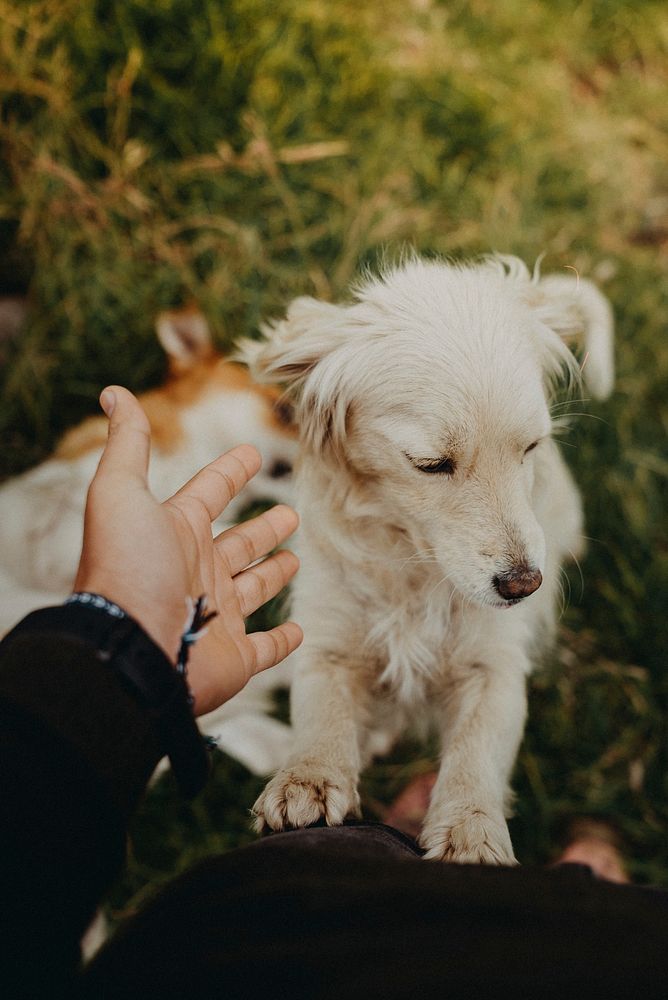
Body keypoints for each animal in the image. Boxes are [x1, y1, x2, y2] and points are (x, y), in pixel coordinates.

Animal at [247, 256, 616, 860]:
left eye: (531, 447)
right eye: (430, 464)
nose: (524, 584)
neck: (416, 565)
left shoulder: (494, 668)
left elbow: (477, 752)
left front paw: (471, 830)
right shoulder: (327, 641)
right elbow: (322, 713)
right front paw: (309, 779)